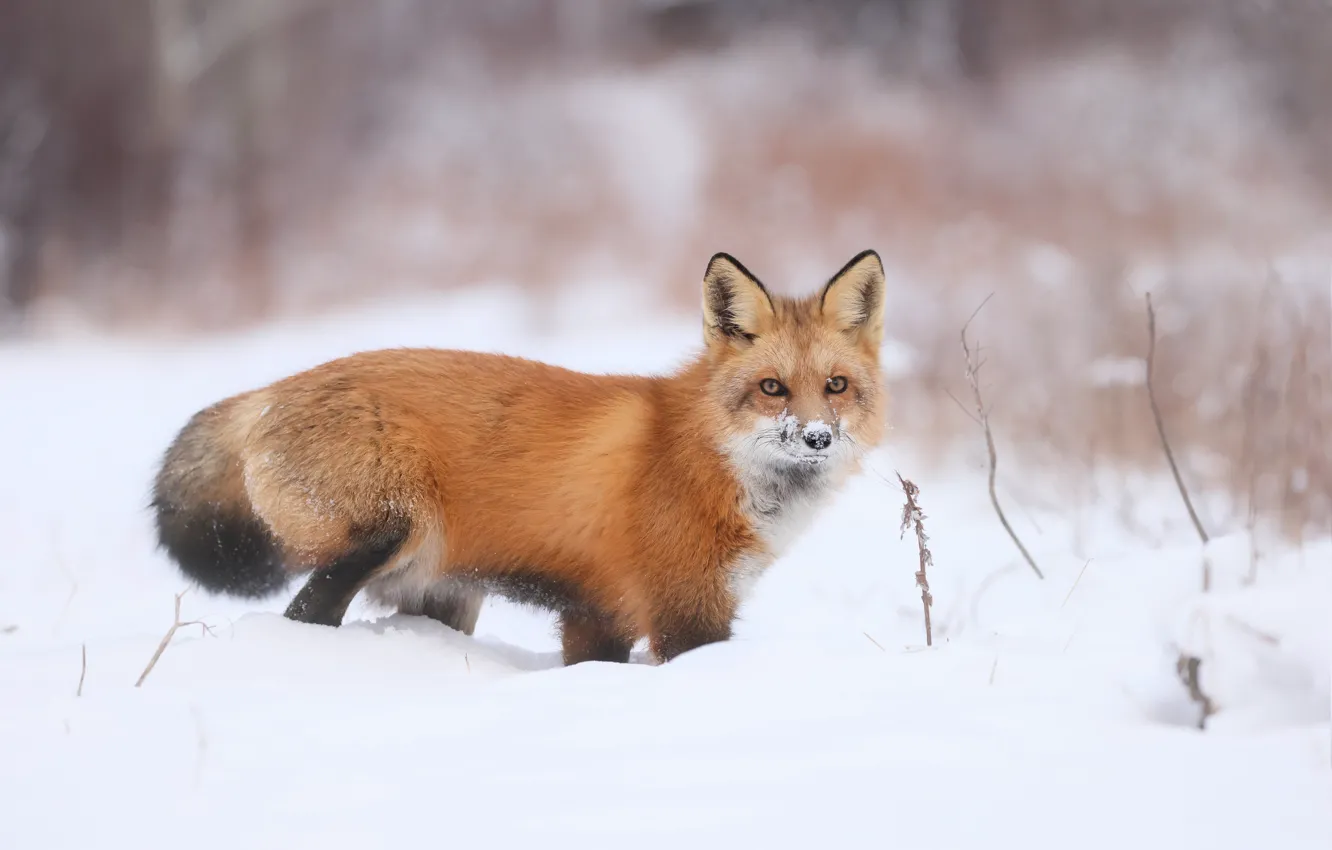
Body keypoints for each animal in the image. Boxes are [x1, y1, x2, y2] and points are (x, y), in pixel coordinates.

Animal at [151, 250, 889, 665]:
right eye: (772, 389)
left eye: (836, 387)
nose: (817, 439)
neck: (709, 461)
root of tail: (272, 391)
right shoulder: (685, 611)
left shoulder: (598, 614)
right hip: (384, 536)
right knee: (304, 614)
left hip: (442, 592)